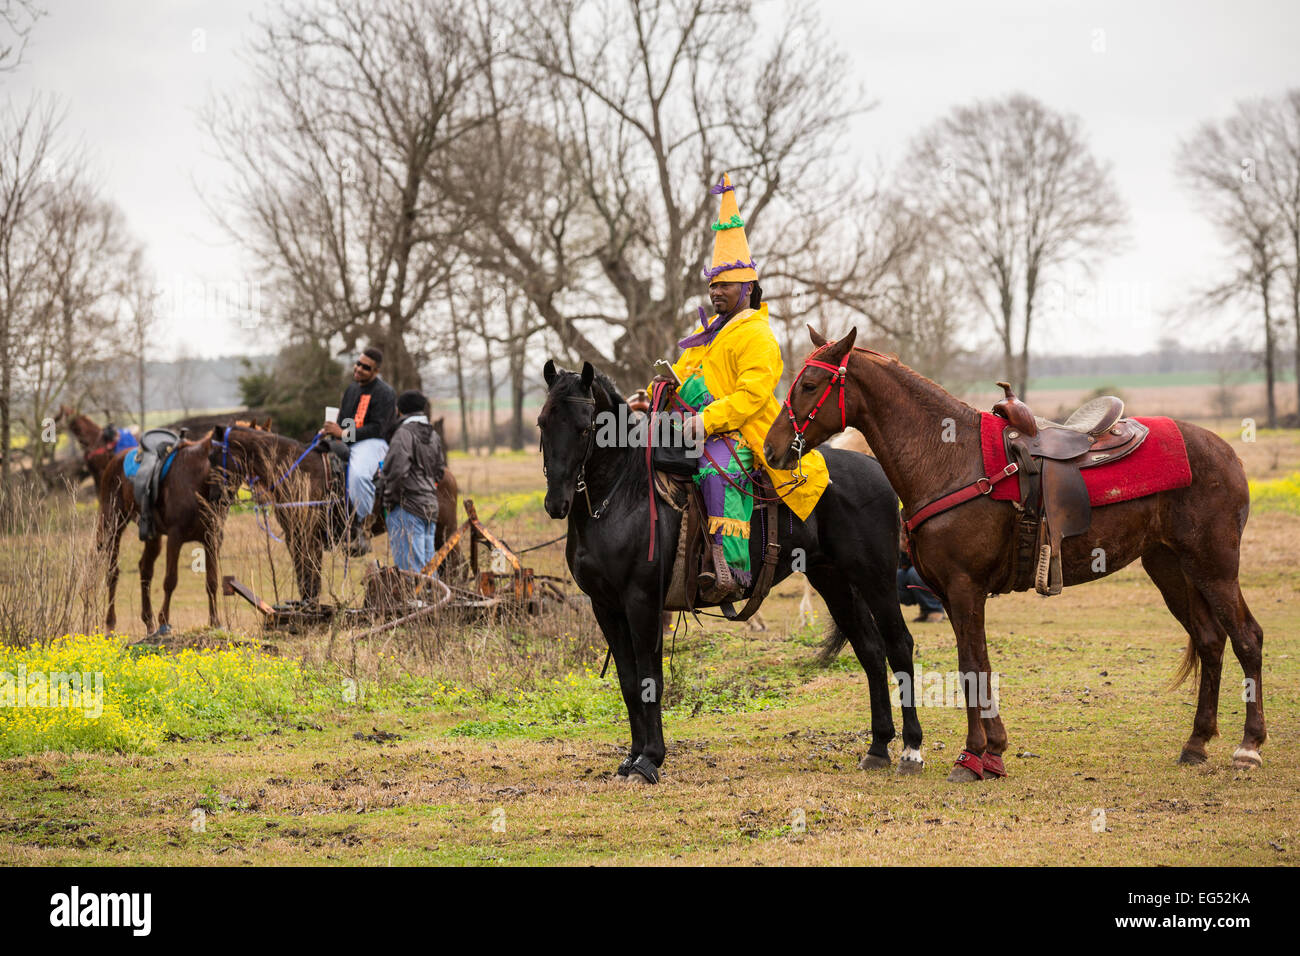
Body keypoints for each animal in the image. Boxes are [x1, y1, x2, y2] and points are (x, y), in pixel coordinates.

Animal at [538, 361, 925, 785]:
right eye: (542, 422)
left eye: (585, 428)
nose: (556, 503)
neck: (622, 496)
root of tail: (876, 468)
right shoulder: (605, 606)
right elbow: (627, 682)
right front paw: (631, 757)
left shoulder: (643, 602)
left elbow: (649, 680)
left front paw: (649, 760)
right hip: (833, 580)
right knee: (870, 650)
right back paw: (878, 746)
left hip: (876, 579)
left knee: (899, 645)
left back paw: (911, 749)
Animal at [764, 327, 1263, 780]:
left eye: (810, 385)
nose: (771, 448)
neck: (950, 458)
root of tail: (1226, 452)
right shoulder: (952, 594)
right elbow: (979, 665)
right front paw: (993, 752)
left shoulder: (965, 588)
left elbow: (969, 666)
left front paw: (970, 756)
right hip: (1172, 568)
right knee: (1210, 639)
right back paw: (1196, 743)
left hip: (1214, 567)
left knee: (1246, 637)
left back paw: (1249, 746)